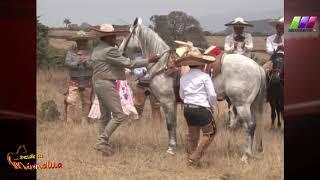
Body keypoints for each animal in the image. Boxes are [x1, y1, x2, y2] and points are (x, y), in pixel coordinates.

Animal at [120, 17, 264, 160]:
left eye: (128, 34)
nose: (120, 50)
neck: (163, 64)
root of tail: (257, 67)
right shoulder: (173, 103)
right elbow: (173, 124)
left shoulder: (167, 101)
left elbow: (170, 124)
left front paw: (171, 148)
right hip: (251, 104)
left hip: (242, 104)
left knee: (250, 126)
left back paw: (246, 155)